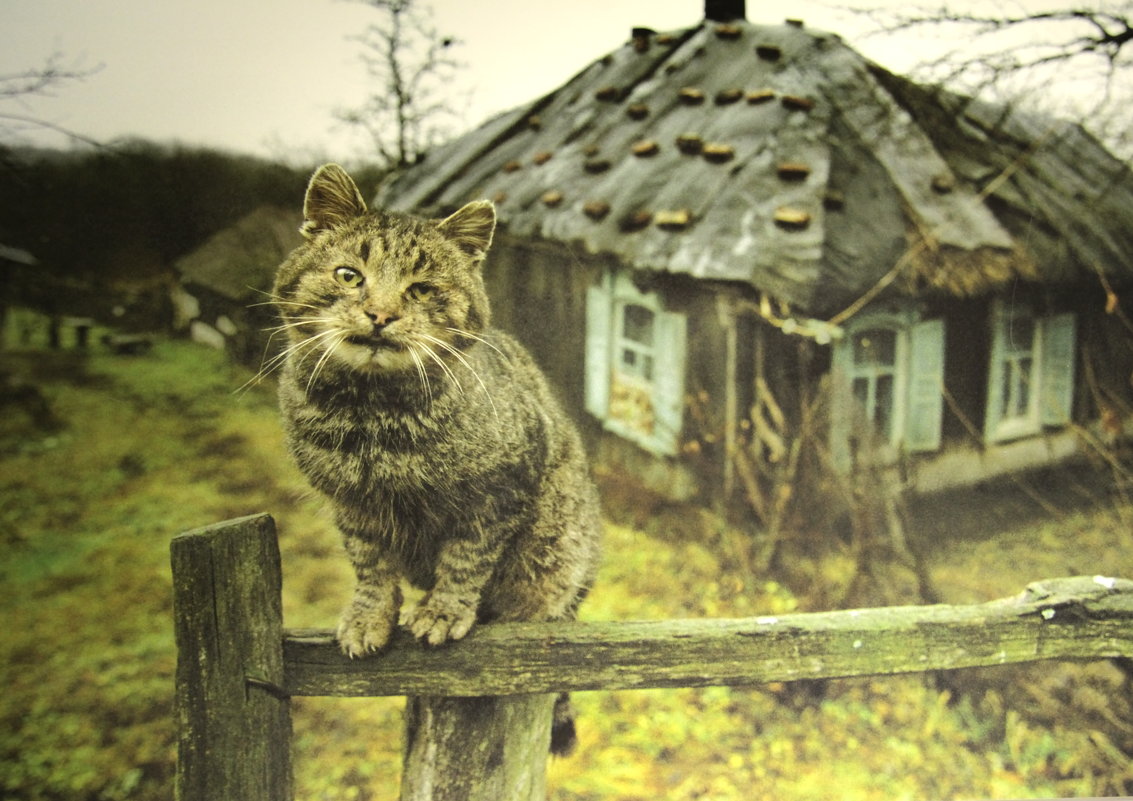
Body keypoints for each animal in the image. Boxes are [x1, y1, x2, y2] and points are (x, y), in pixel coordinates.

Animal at [270, 164, 602, 756]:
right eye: (349, 275)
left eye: (421, 289)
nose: (380, 314)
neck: (372, 417)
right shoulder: (352, 507)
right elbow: (371, 566)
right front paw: (370, 616)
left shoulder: (496, 494)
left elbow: (466, 558)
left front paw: (445, 610)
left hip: (556, 566)